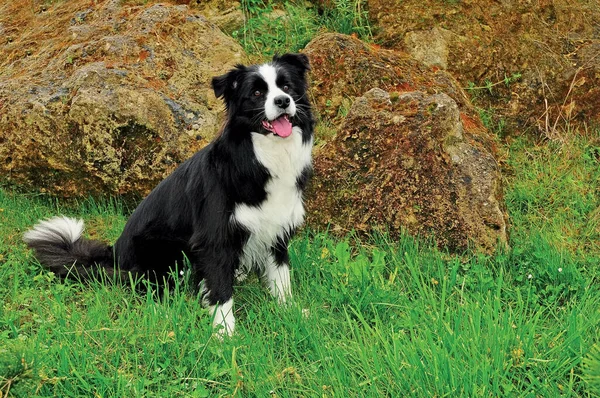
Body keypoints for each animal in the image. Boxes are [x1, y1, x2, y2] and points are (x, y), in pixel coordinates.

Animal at [23, 52, 314, 336]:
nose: (283, 101)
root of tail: (114, 256)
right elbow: (221, 290)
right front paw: (224, 333)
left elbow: (281, 278)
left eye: (287, 87)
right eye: (256, 93)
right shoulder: (214, 238)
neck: (260, 155)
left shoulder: (277, 230)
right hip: (164, 251)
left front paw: (291, 313)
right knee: (152, 289)